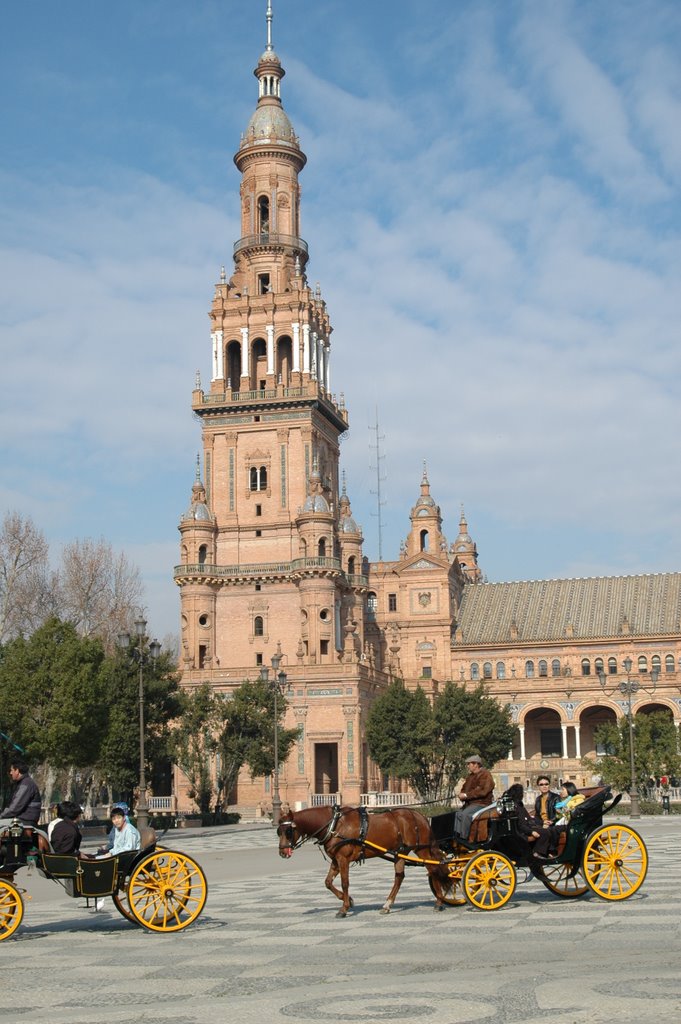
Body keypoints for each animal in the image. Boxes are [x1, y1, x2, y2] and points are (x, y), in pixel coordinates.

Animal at [274, 802, 448, 917]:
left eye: (288, 831)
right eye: (278, 831)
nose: (282, 852)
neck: (334, 825)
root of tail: (420, 816)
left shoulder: (343, 859)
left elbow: (345, 883)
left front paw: (344, 908)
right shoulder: (336, 860)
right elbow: (328, 882)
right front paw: (348, 900)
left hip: (421, 849)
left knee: (433, 869)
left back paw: (439, 902)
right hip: (401, 851)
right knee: (399, 877)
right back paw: (387, 905)